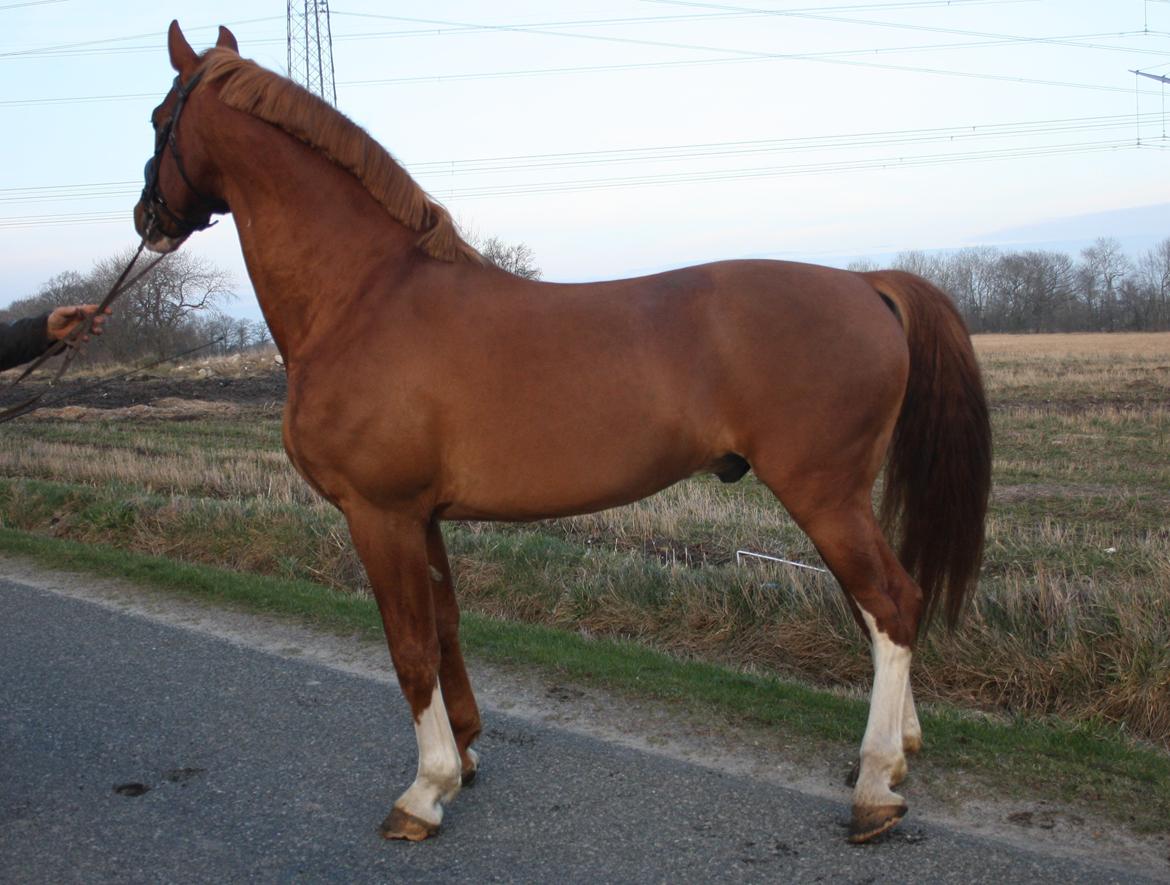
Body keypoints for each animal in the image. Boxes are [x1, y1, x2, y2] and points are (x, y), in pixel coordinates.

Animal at [136, 22, 992, 842]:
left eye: (158, 117)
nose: (148, 218)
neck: (365, 295)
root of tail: (867, 284)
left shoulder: (379, 513)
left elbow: (409, 648)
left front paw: (424, 792)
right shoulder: (423, 516)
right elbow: (445, 631)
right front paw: (464, 757)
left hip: (822, 493)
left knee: (890, 602)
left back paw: (874, 787)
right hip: (837, 497)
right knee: (880, 607)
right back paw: (897, 756)